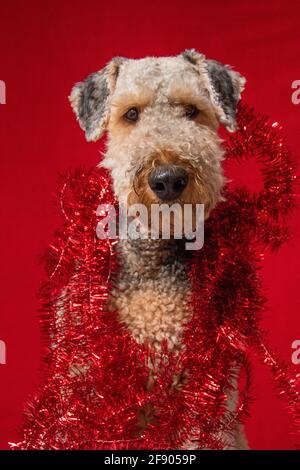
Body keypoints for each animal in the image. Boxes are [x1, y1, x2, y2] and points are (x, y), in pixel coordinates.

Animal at [69, 49, 247, 450]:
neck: (153, 262)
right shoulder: (94, 397)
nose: (168, 179)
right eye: (131, 114)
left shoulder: (204, 392)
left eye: (192, 110)